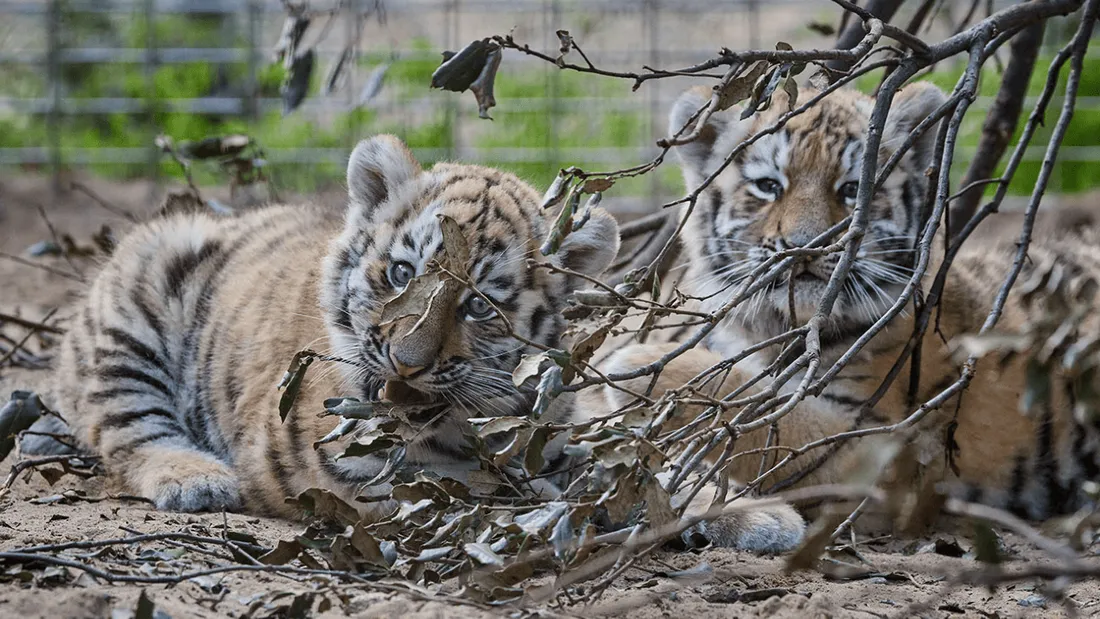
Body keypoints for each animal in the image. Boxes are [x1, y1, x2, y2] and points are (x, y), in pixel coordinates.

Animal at [18, 135, 805, 552]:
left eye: (480, 304)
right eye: (402, 272)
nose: (406, 361)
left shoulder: (555, 432)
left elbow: (644, 468)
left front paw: (758, 513)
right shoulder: (372, 473)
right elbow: (493, 502)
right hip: (142, 293)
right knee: (123, 428)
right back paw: (195, 475)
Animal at [589, 81, 1100, 526]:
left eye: (853, 189)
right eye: (768, 186)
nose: (805, 245)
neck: (780, 328)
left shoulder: (883, 449)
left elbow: (764, 412)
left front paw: (640, 368)